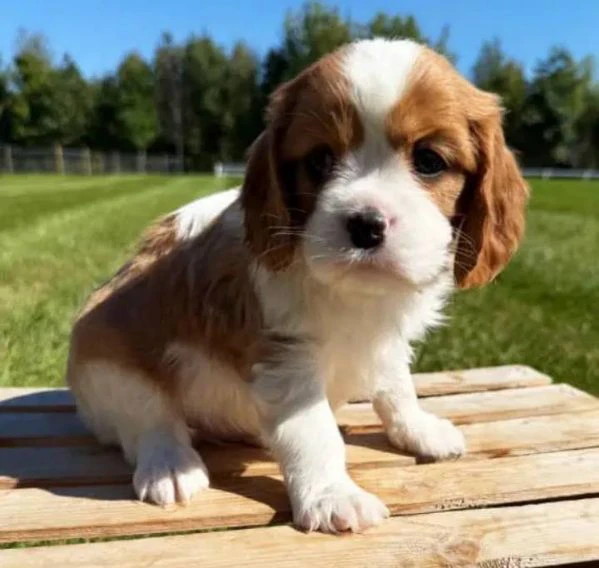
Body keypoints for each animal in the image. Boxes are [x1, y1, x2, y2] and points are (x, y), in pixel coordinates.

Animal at [65, 38, 528, 532]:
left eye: (429, 161)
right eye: (319, 160)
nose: (365, 225)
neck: (354, 294)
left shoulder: (386, 341)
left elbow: (397, 387)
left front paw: (416, 429)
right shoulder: (285, 358)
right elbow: (313, 431)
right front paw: (332, 495)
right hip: (106, 360)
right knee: (149, 418)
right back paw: (170, 463)